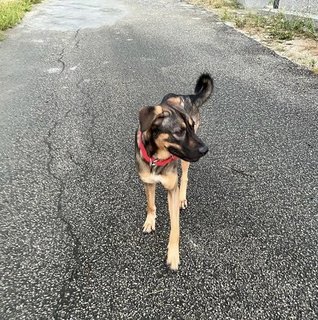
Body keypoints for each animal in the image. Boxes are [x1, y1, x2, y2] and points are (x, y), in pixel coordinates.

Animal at [135, 73, 214, 270]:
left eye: (191, 127)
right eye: (179, 131)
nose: (205, 149)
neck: (156, 156)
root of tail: (187, 96)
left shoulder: (172, 189)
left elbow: (175, 227)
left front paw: (173, 254)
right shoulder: (148, 182)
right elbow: (150, 204)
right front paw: (150, 221)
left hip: (185, 161)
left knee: (184, 177)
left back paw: (183, 198)